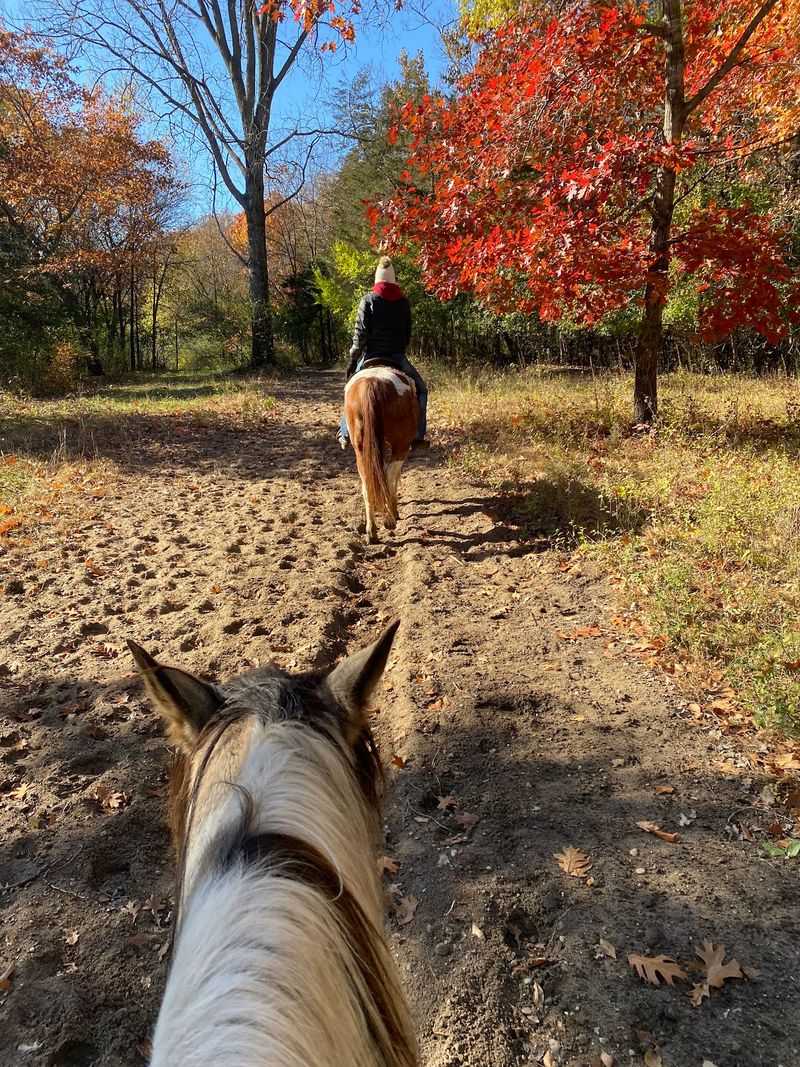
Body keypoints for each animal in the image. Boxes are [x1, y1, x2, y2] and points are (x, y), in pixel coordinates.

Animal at [344, 365, 419, 543]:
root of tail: (372, 384)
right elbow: (393, 477)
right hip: (401, 446)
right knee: (388, 476)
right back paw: (390, 519)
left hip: (361, 450)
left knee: (368, 483)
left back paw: (371, 531)